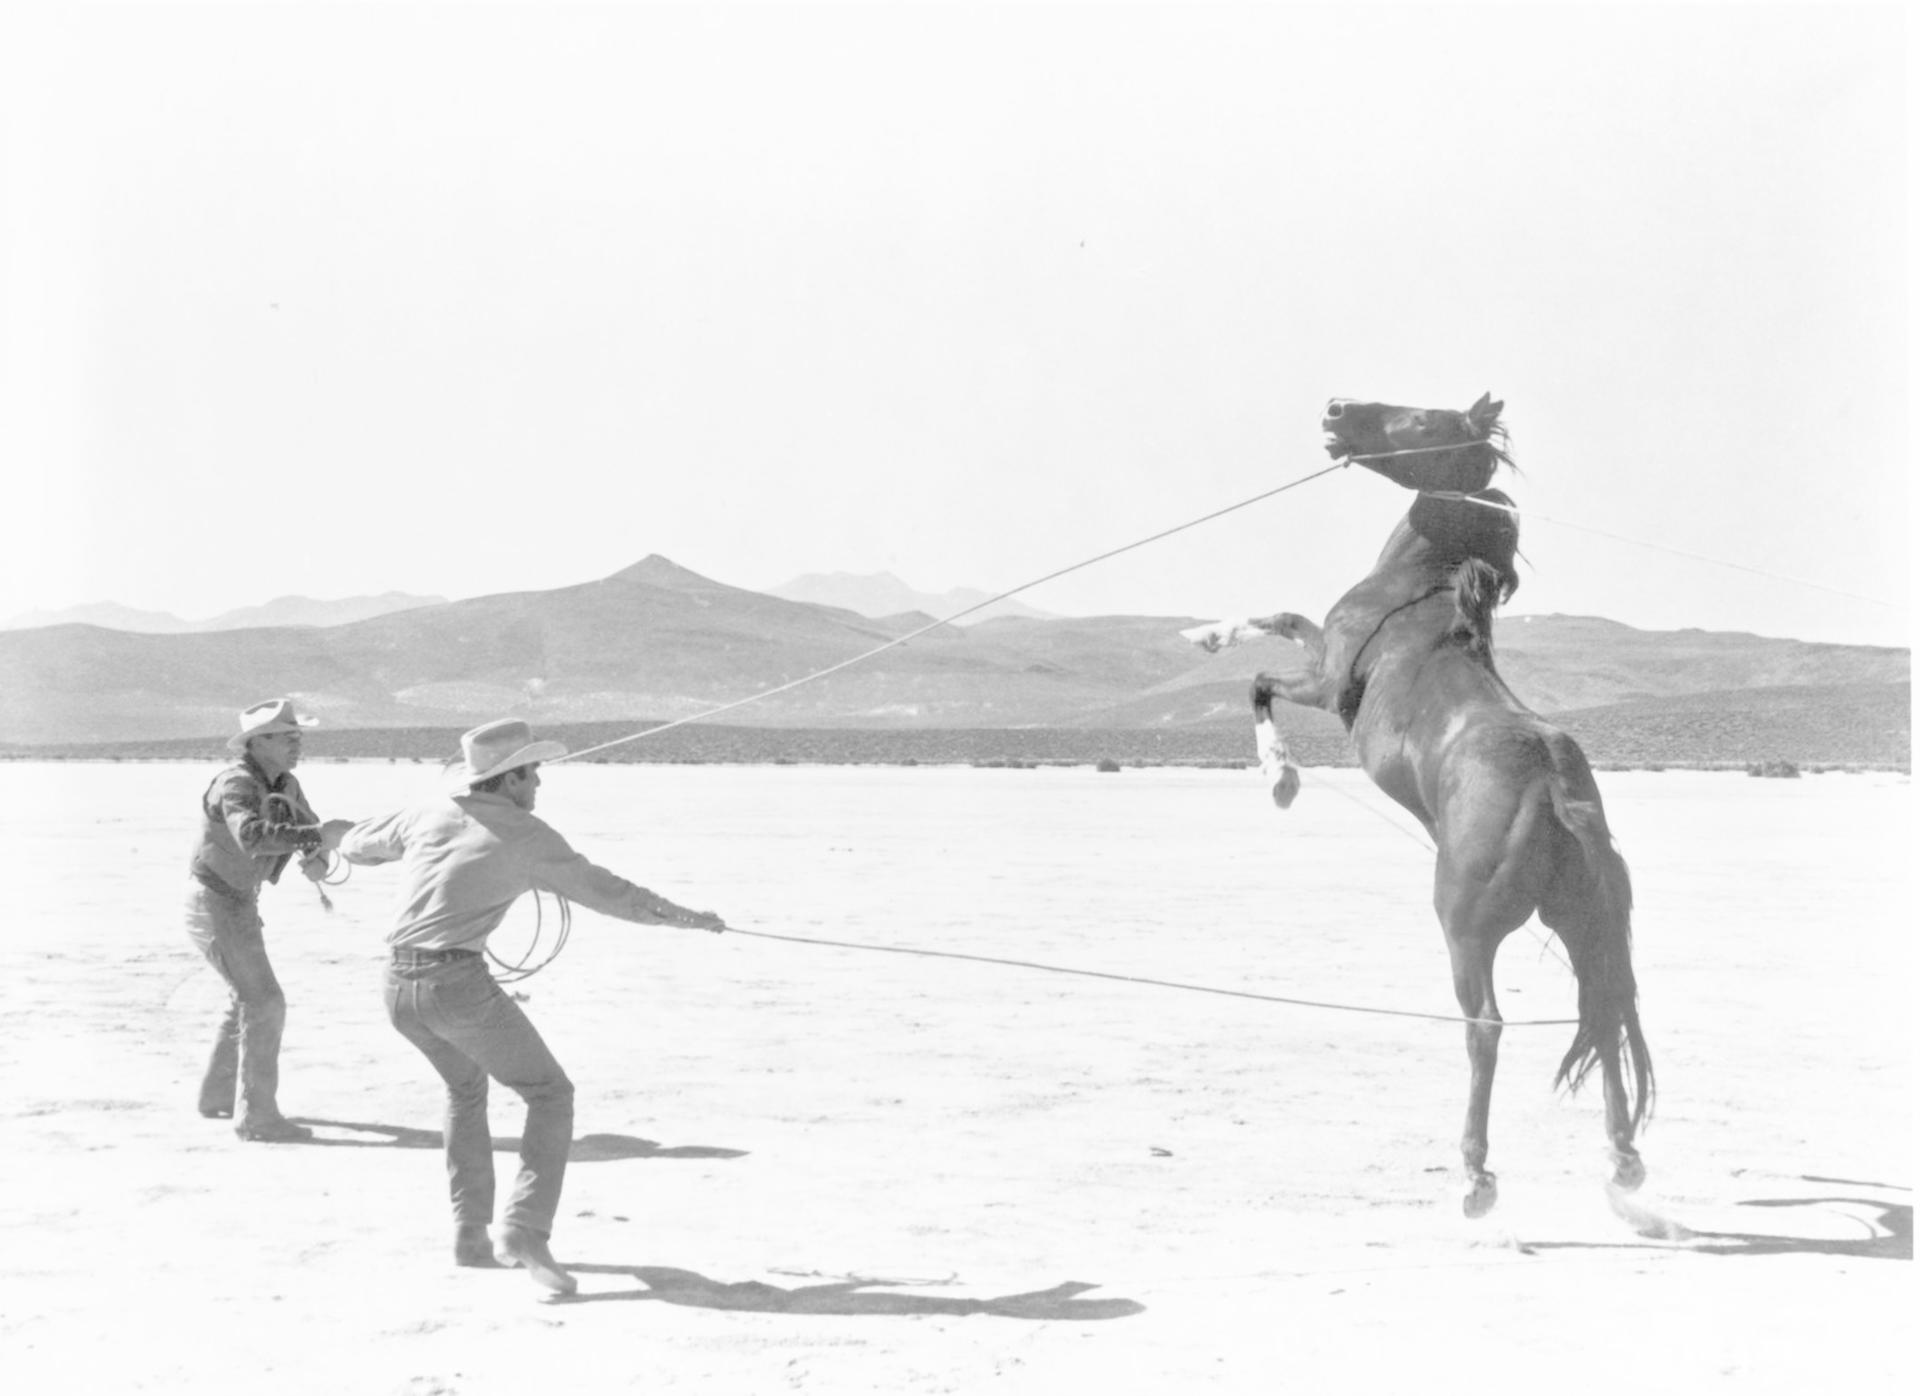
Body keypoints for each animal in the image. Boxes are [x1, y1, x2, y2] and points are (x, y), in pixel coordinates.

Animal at [1185, 394, 1652, 1219]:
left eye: (1425, 420)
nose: (1337, 409)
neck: (1420, 593)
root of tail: (1555, 788)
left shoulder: (1327, 682)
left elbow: (1263, 679)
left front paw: (1281, 779)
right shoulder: (1320, 648)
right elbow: (1284, 618)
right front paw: (1207, 633)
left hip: (1466, 928)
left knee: (1486, 1026)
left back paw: (1476, 1175)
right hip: (1581, 924)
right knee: (1605, 1012)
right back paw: (1622, 1164)